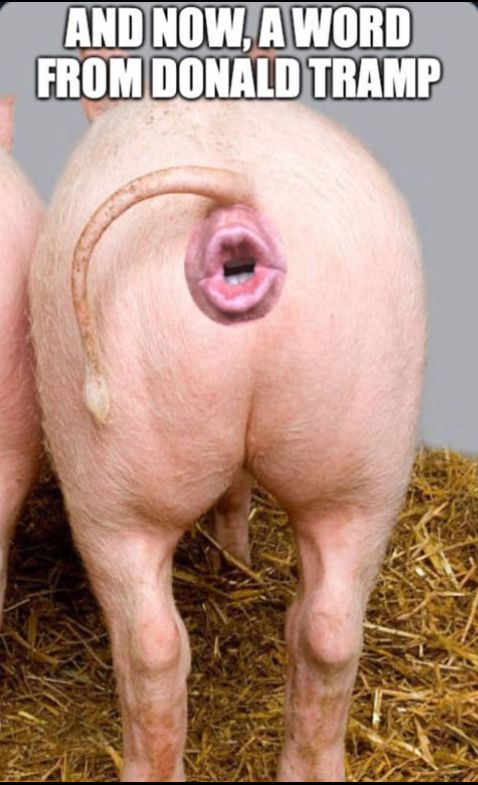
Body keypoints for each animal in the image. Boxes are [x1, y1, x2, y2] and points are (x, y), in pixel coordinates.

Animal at [30, 80, 425, 781]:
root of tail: (235, 191)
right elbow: (237, 489)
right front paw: (234, 564)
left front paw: (228, 563)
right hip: (368, 451)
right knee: (327, 633)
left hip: (108, 478)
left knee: (153, 646)